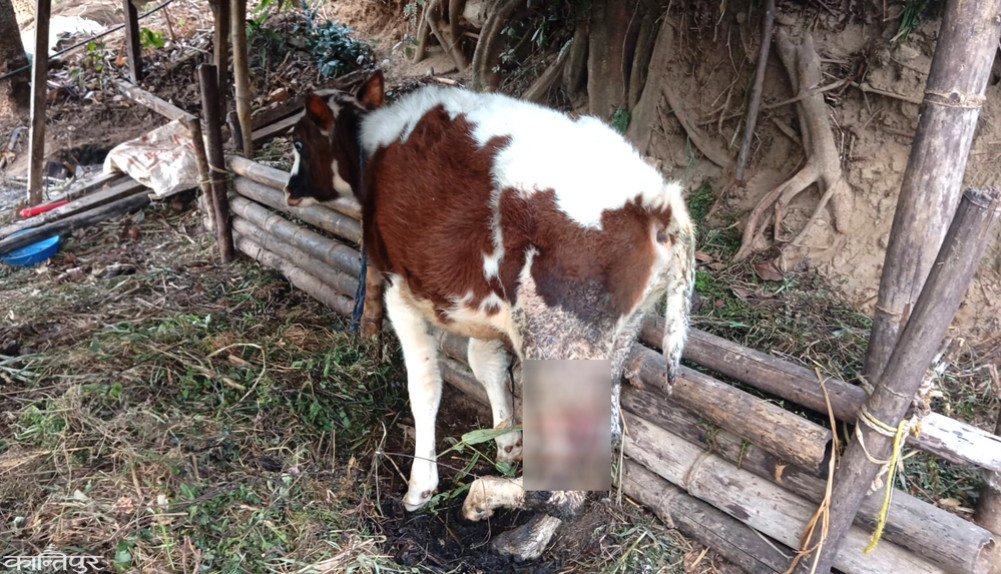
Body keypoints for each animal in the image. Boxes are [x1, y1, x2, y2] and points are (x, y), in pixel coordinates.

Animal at [284, 70, 696, 560]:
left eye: (298, 141)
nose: (289, 190)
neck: (371, 146)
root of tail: (658, 200)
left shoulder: (400, 288)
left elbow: (425, 385)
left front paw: (420, 487)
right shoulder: (483, 302)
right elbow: (486, 365)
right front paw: (506, 445)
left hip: (555, 339)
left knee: (565, 474)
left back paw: (484, 500)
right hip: (615, 338)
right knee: (602, 438)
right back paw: (528, 536)